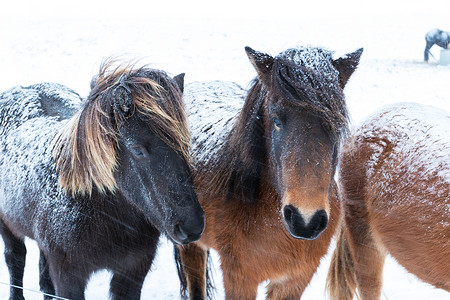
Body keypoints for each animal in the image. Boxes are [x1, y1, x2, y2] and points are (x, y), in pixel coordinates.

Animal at [0, 62, 204, 298]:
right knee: (15, 259)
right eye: (137, 150)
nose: (192, 226)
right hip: (7, 226)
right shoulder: (69, 277)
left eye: (186, 143)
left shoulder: (132, 272)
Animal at [175, 45, 362, 298]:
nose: (306, 221)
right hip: (191, 245)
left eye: (336, 124)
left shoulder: (295, 280)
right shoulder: (239, 278)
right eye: (276, 119)